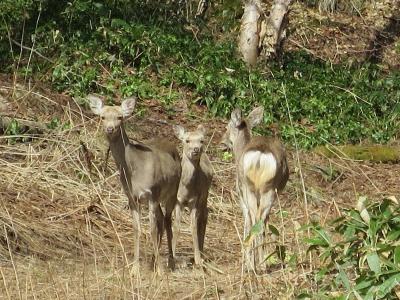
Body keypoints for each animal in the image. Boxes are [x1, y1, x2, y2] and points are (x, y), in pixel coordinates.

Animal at [89, 94, 181, 272]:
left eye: (120, 117)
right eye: (102, 117)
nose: (110, 129)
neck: (134, 170)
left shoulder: (152, 192)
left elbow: (151, 229)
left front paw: (160, 271)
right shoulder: (132, 197)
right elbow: (136, 229)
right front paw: (135, 268)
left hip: (172, 190)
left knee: (167, 221)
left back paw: (170, 263)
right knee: (161, 220)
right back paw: (153, 262)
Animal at [173, 123, 214, 264]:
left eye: (201, 141)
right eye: (187, 140)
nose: (196, 149)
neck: (186, 187)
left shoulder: (194, 201)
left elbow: (193, 227)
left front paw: (197, 260)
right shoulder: (177, 201)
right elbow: (177, 226)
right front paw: (172, 255)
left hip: (205, 194)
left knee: (205, 214)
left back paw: (201, 252)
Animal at [220, 106, 290, 274]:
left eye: (227, 126)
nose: (222, 142)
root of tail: (260, 156)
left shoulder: (240, 196)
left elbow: (246, 221)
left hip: (250, 188)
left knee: (255, 219)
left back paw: (253, 265)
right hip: (268, 190)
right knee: (262, 220)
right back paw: (262, 263)